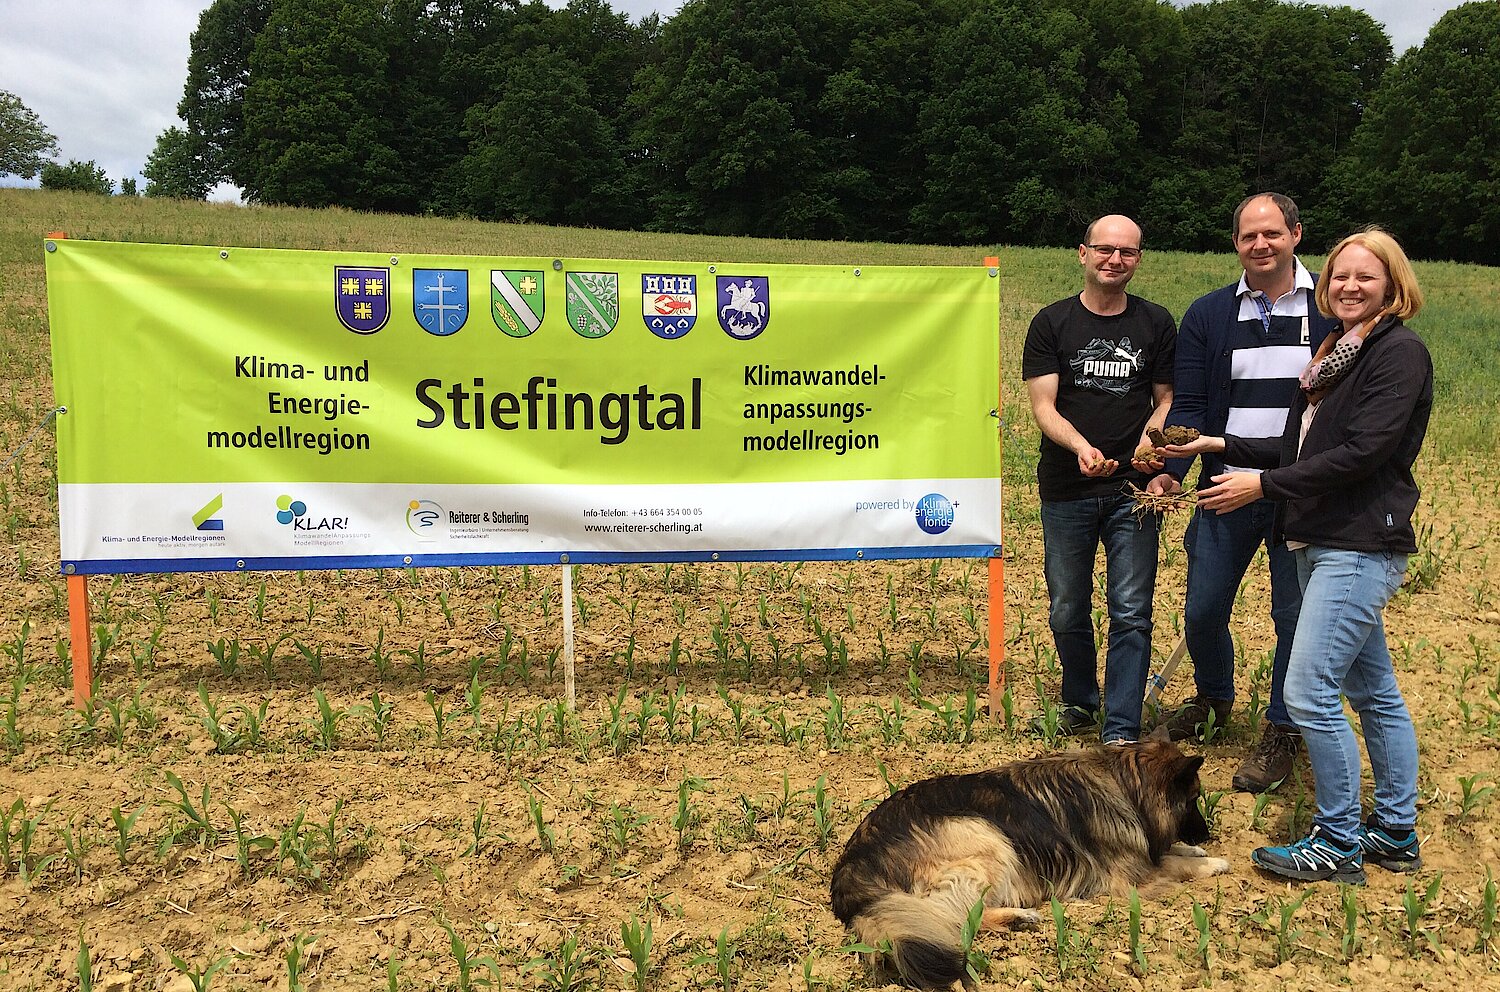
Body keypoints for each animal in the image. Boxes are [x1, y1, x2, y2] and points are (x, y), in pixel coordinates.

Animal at [834, 738, 1230, 984]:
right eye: (1194, 799)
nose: (1206, 835)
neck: (1125, 780)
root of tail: (853, 864)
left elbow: (1167, 852)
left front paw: (1194, 851)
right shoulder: (1131, 876)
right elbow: (1171, 865)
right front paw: (1212, 863)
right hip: (986, 838)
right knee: (953, 917)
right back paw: (1018, 917)